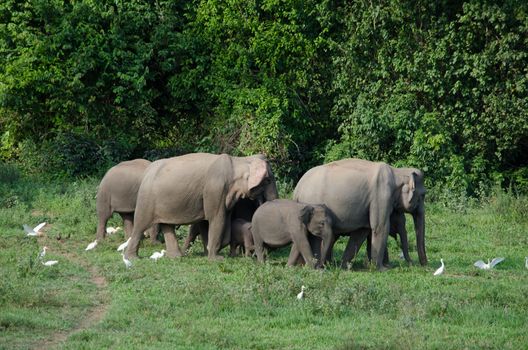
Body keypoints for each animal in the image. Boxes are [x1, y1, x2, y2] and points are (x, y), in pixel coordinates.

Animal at [126, 153, 278, 260]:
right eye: (268, 180)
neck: (238, 161)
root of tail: (147, 170)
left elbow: (212, 222)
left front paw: (209, 252)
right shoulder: (215, 189)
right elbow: (216, 218)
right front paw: (216, 258)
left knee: (167, 225)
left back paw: (175, 257)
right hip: (146, 199)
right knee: (141, 224)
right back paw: (132, 258)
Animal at [294, 159, 426, 270]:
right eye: (423, 195)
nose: (423, 266)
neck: (398, 172)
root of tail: (297, 188)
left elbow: (363, 231)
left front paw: (346, 266)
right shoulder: (381, 196)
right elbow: (380, 227)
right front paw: (381, 269)